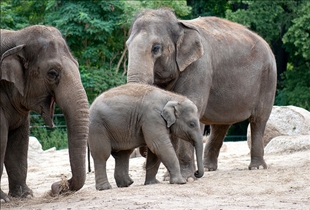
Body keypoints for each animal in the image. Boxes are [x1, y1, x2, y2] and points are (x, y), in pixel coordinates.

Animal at [0, 25, 89, 202]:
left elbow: (19, 141)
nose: (57, 186)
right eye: (52, 73)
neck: (16, 36)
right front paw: (3, 199)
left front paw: (25, 195)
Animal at [126, 7, 276, 180]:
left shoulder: (199, 67)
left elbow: (191, 108)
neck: (180, 25)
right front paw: (169, 177)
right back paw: (210, 168)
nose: (143, 153)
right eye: (127, 46)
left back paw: (256, 167)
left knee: (258, 119)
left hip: (268, 79)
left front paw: (186, 177)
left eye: (156, 48)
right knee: (220, 125)